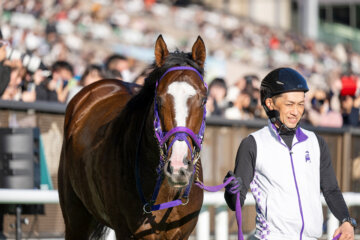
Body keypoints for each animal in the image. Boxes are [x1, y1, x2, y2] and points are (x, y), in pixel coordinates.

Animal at [57, 35, 207, 240]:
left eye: (204, 100)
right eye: (159, 99)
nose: (178, 167)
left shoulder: (182, 233)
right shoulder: (126, 230)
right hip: (75, 216)